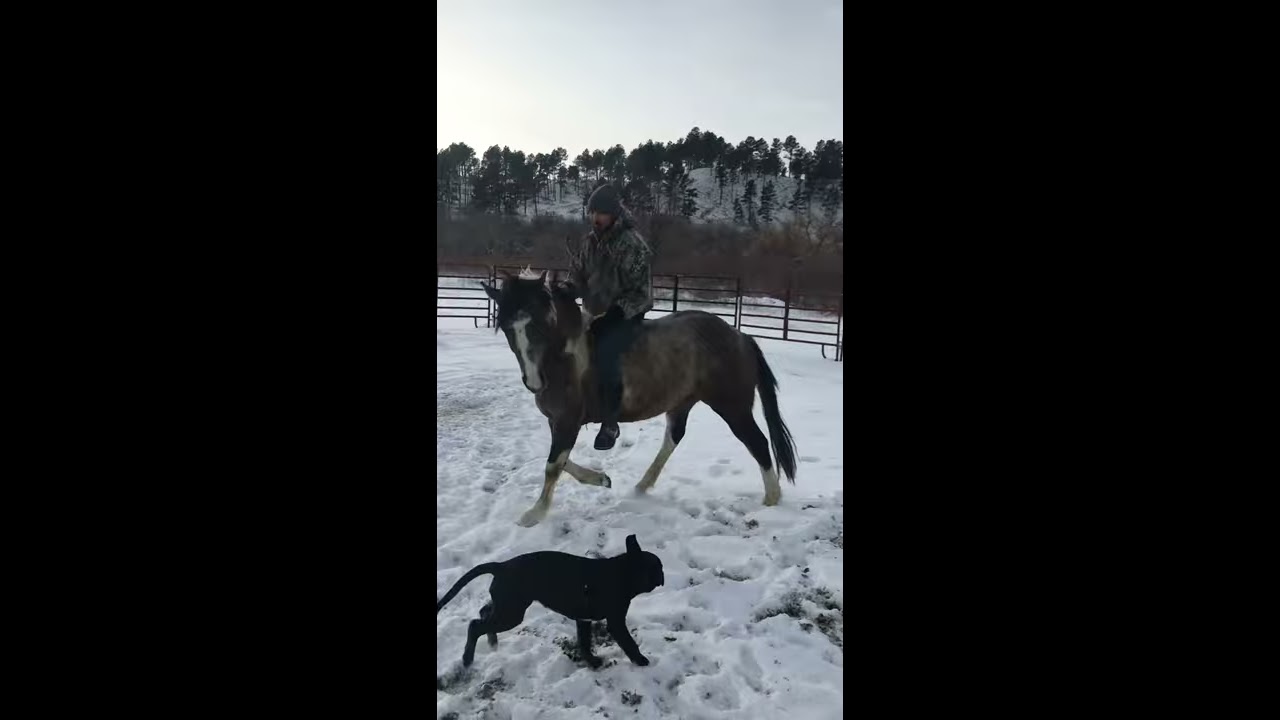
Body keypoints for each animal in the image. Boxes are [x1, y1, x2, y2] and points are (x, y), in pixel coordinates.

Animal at [479, 269, 798, 527]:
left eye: (541, 324)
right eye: (507, 328)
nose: (534, 382)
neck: (566, 358)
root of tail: (740, 336)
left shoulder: (568, 421)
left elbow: (553, 465)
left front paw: (535, 514)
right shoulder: (556, 421)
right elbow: (561, 460)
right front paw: (601, 479)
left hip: (732, 407)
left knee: (758, 442)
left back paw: (771, 499)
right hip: (682, 402)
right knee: (674, 437)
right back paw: (642, 486)